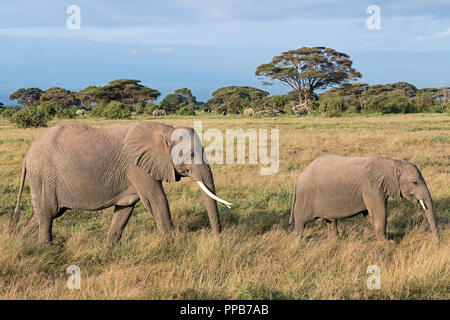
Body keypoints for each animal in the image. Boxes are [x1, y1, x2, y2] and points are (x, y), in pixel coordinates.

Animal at [10, 120, 232, 245]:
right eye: (192, 154)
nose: (218, 240)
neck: (166, 131)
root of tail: (28, 154)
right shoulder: (138, 167)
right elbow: (156, 200)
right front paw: (176, 244)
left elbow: (125, 208)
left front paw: (109, 248)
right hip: (43, 176)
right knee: (48, 212)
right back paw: (47, 248)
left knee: (47, 213)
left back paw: (21, 240)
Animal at [288, 155, 440, 242]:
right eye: (414, 182)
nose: (436, 242)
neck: (393, 163)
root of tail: (299, 177)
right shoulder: (371, 187)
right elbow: (379, 212)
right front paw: (387, 243)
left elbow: (370, 215)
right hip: (305, 197)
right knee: (301, 222)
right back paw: (299, 244)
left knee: (331, 221)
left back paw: (335, 242)